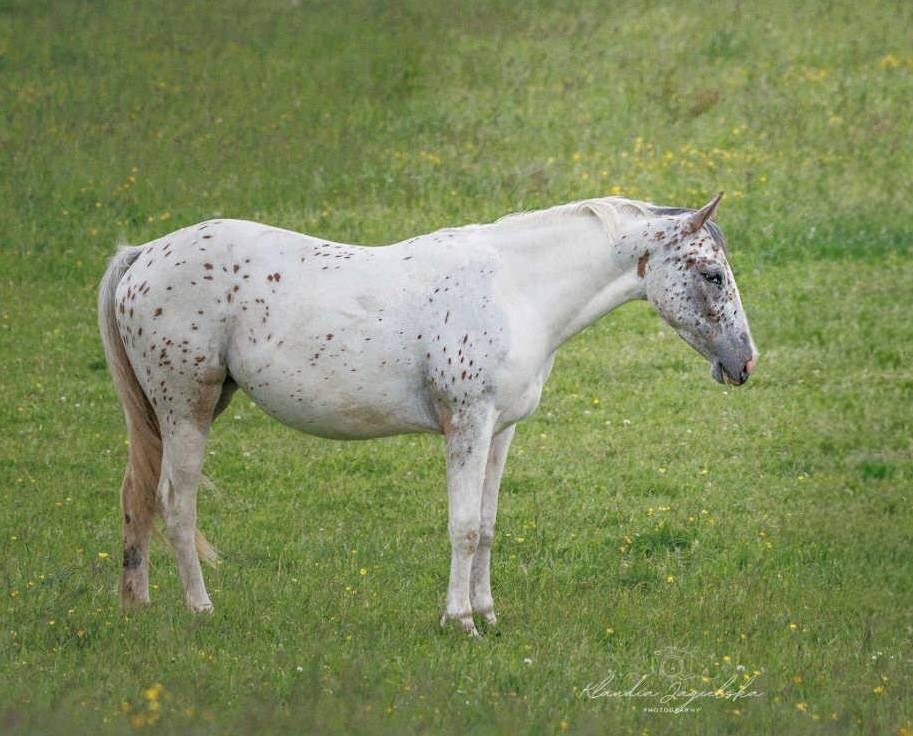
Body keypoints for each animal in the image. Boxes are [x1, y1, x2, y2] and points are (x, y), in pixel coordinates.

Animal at [98, 192, 757, 635]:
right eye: (712, 274)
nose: (745, 362)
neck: (515, 290)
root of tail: (143, 255)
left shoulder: (500, 431)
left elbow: (486, 526)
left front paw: (489, 614)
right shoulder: (466, 424)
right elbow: (462, 526)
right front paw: (459, 620)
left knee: (138, 496)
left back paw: (138, 603)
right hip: (187, 409)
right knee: (174, 502)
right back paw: (200, 608)